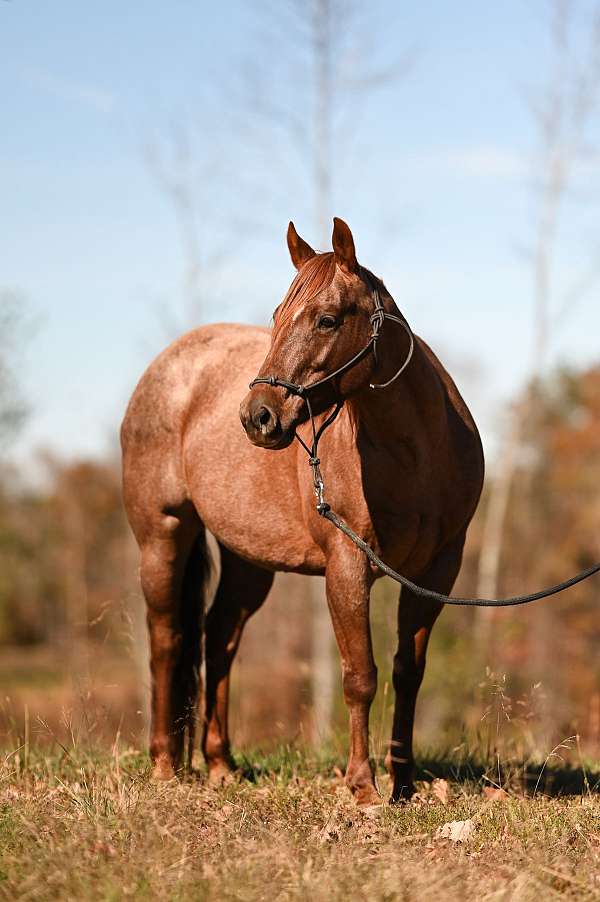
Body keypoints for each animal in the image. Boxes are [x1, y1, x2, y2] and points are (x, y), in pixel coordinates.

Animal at [120, 219, 482, 804]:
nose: (258, 417)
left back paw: (221, 764)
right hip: (162, 537)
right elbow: (360, 675)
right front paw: (363, 788)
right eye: (275, 316)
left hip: (248, 561)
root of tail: (168, 366)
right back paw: (165, 766)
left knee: (219, 638)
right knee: (167, 639)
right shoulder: (347, 567)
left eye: (326, 319)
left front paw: (403, 782)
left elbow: (408, 672)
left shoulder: (437, 571)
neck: (416, 456)